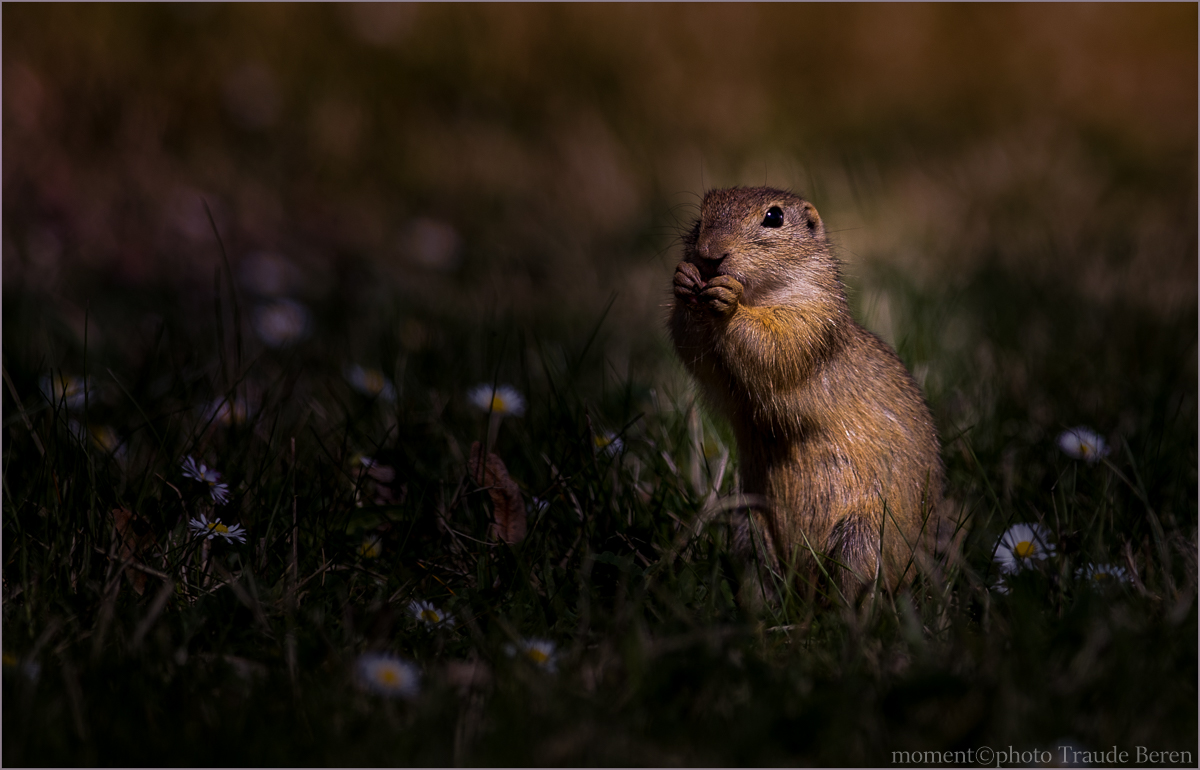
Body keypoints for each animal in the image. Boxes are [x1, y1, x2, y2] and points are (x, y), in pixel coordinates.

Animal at [672, 185, 940, 599]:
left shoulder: (809, 322)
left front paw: (728, 302)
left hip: (861, 538)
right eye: (701, 214)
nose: (709, 255)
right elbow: (692, 348)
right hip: (748, 524)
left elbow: (773, 344)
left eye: (774, 217)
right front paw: (685, 279)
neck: (762, 296)